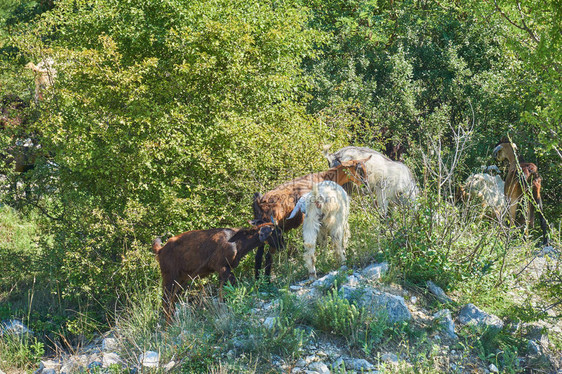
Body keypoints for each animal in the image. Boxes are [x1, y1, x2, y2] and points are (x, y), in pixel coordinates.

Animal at [151, 219, 284, 322]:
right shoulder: (222, 267)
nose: (282, 246)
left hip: (182, 279)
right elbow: (222, 291)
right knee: (166, 300)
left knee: (172, 300)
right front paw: (222, 310)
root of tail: (160, 250)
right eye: (277, 232)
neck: (237, 242)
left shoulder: (228, 269)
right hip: (169, 276)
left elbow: (230, 286)